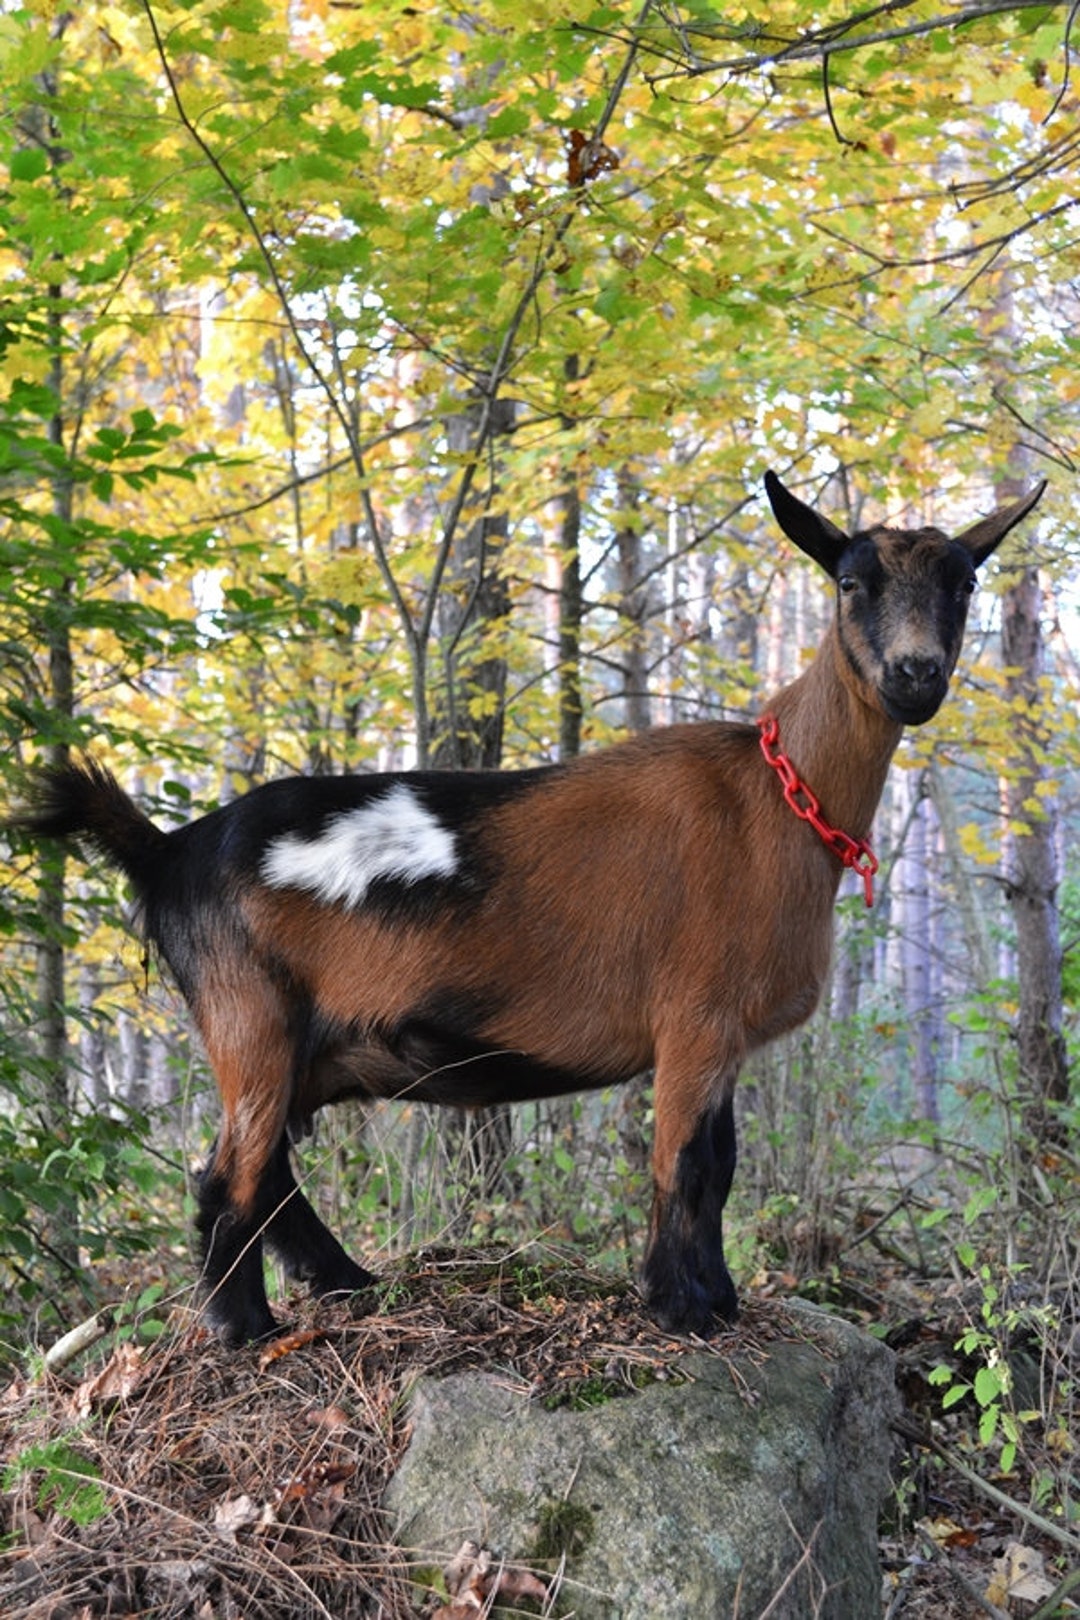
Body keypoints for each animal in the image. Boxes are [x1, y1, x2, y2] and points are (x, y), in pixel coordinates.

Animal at [11, 470, 1045, 1344]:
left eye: (964, 584)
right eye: (851, 582)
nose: (916, 674)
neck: (773, 798)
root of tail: (170, 850)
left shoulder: (720, 1037)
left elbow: (720, 1162)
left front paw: (717, 1298)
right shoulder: (695, 1018)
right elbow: (687, 1164)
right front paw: (681, 1309)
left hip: (297, 1045)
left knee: (267, 1176)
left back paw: (346, 1282)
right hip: (250, 1019)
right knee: (228, 1178)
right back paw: (247, 1329)